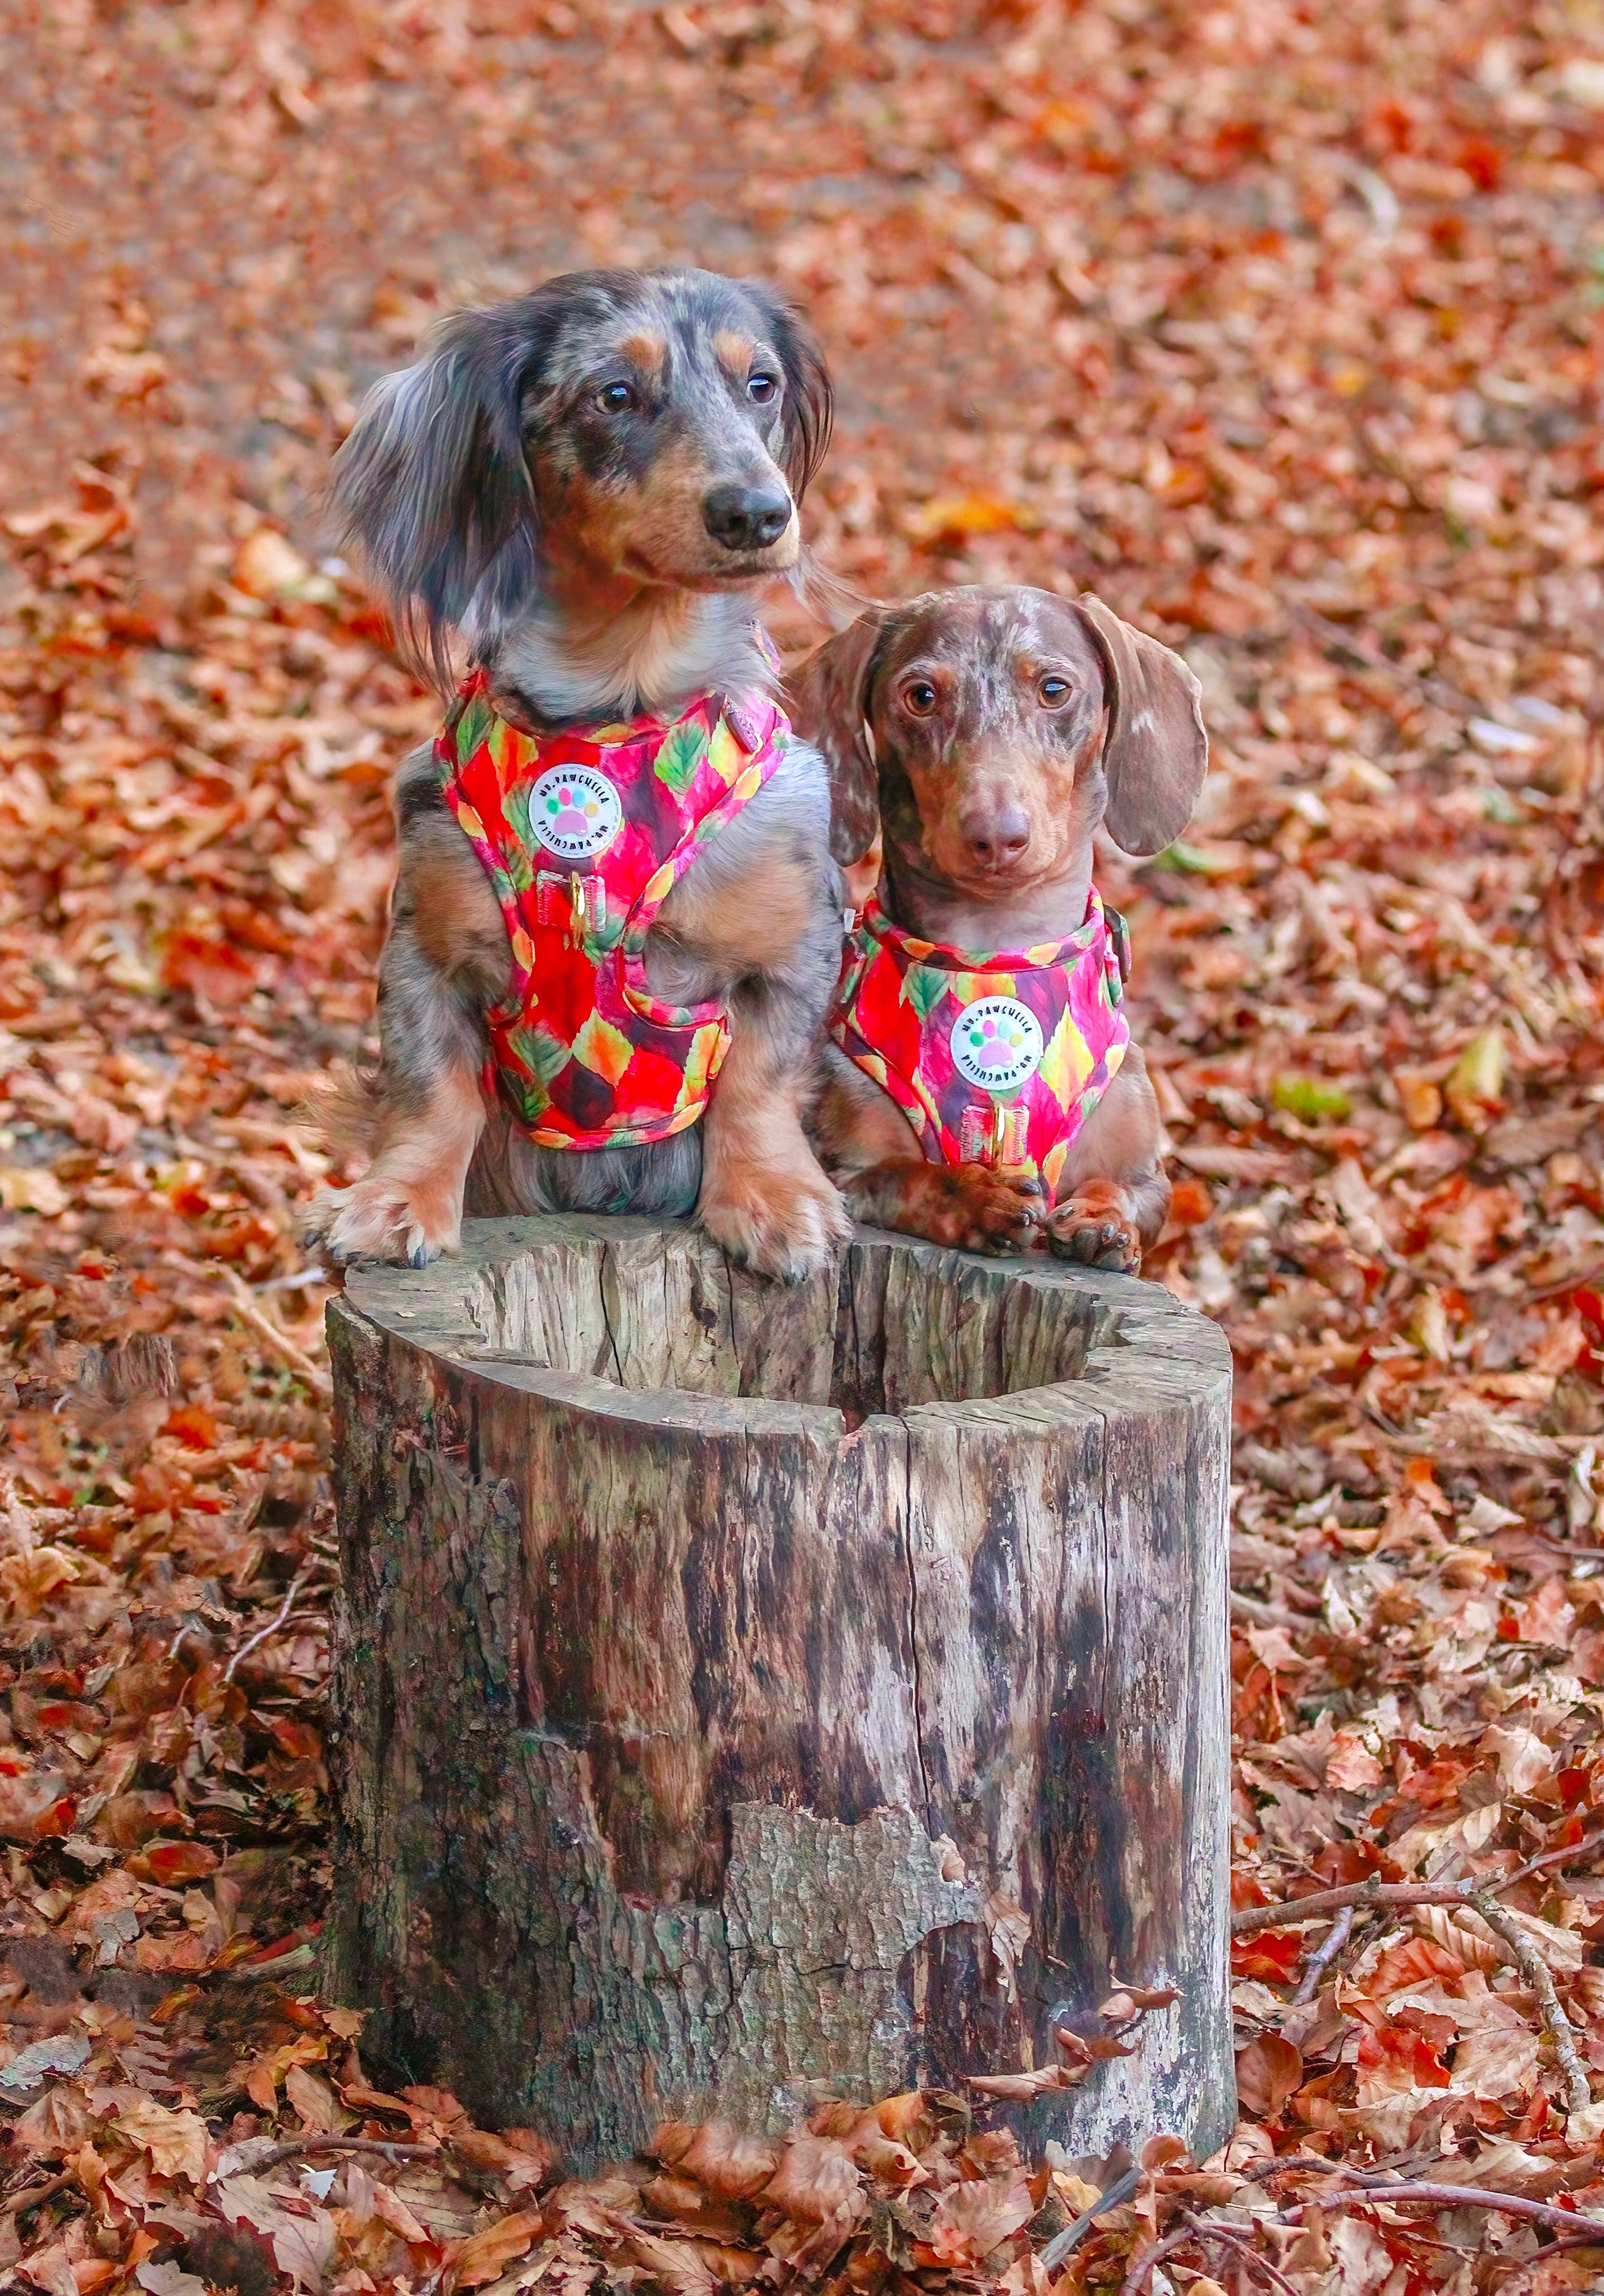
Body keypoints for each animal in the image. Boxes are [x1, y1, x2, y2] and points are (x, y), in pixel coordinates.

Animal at [304, 267, 851, 1282]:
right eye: (615, 395)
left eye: (760, 384)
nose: (759, 514)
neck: (613, 704)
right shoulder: (423, 946)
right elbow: (432, 1087)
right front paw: (397, 1199)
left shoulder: (794, 947)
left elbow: (760, 1079)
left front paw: (770, 1198)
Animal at [788, 584, 1207, 1270]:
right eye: (921, 696)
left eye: (1055, 688)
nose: (996, 835)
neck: (1000, 955)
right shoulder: (845, 1169)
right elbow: (911, 1175)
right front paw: (977, 1195)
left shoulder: (1149, 1177)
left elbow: (1120, 1189)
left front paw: (1103, 1219)